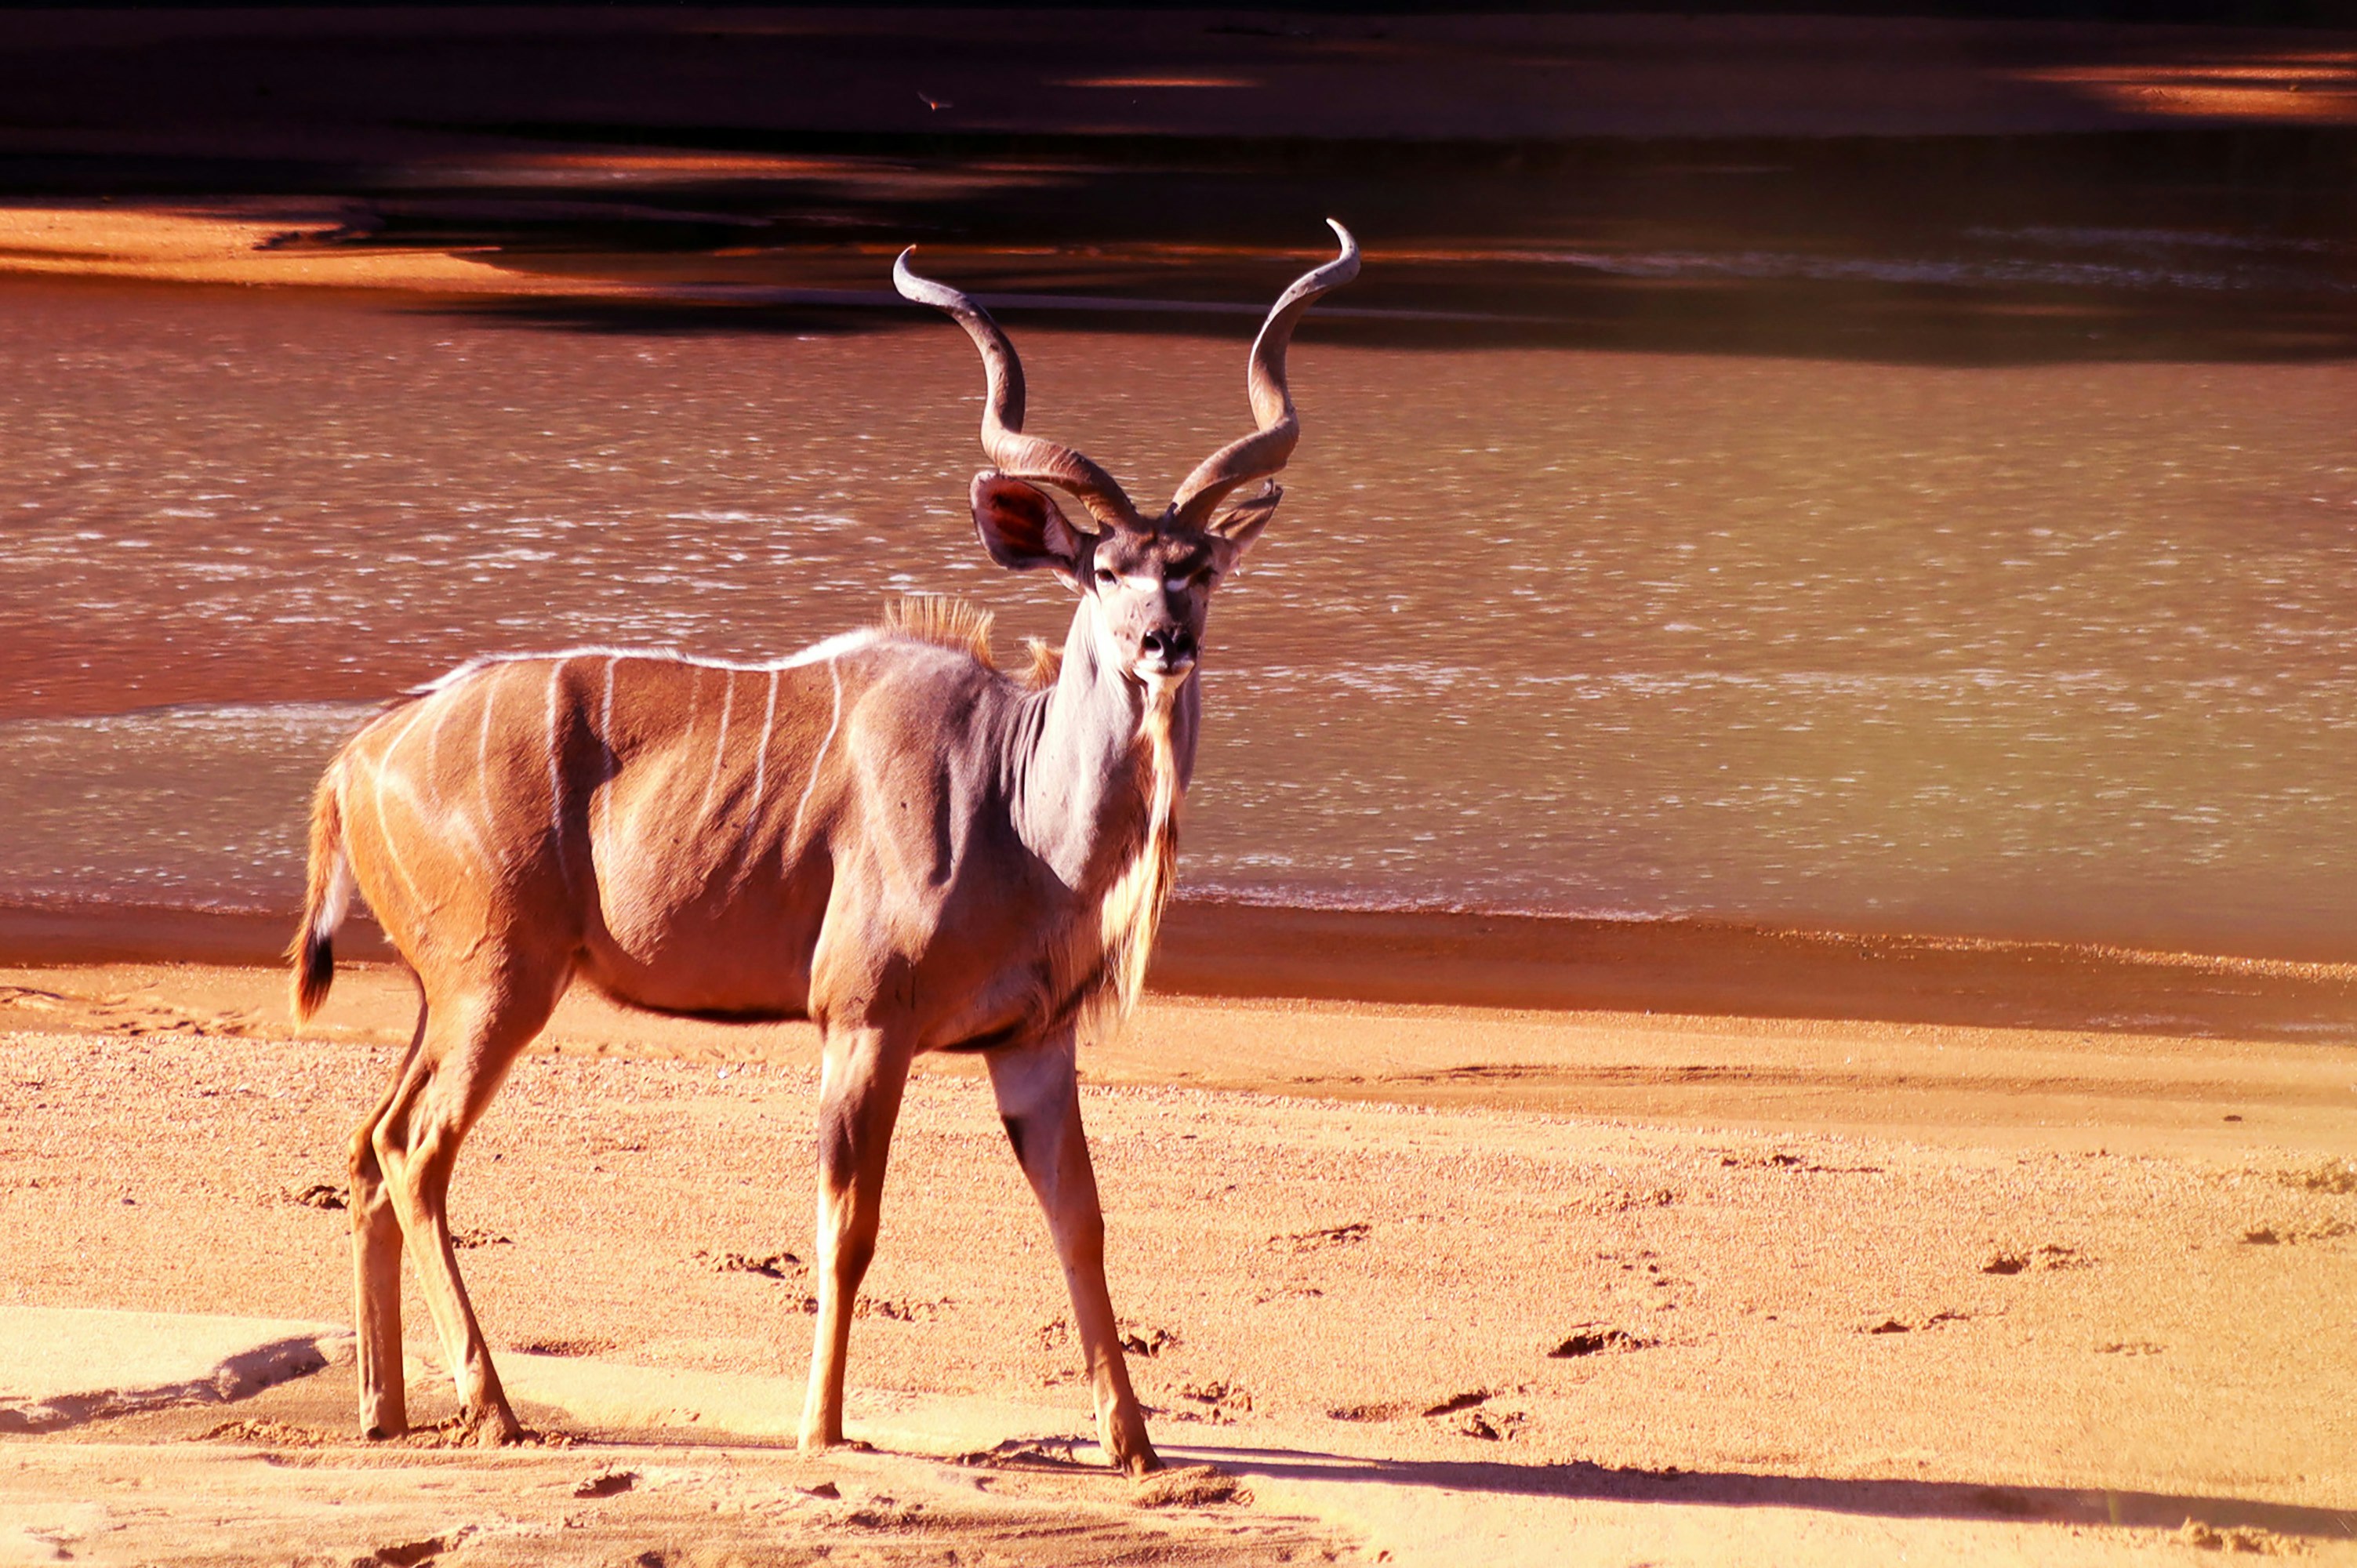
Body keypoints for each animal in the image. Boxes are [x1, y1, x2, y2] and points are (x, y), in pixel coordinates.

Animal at [288, 222, 1359, 1475]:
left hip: (448, 993)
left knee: (368, 1146)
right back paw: (494, 1410)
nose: (1163, 642)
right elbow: (848, 1227)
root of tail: (359, 758)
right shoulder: (862, 1023)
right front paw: (823, 1429)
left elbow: (1081, 1222)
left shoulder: (1030, 1046)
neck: (1013, 801)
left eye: (1197, 568)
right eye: (1105, 570)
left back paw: (385, 1408)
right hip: (499, 986)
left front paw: (1134, 1445)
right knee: (417, 1151)